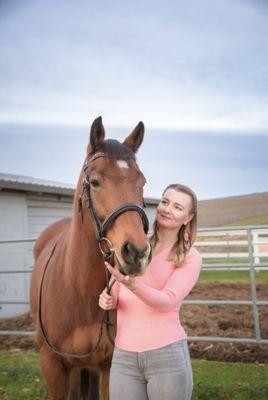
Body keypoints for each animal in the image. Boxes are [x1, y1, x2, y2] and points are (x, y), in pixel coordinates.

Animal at [29, 116, 151, 400]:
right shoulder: (53, 366)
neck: (78, 290)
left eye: (142, 182)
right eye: (95, 182)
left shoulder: (110, 365)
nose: (136, 251)